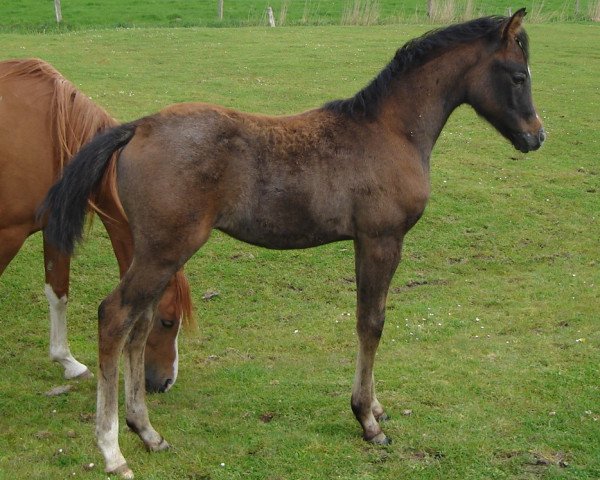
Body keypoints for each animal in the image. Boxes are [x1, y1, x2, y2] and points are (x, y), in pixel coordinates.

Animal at [0, 58, 192, 392]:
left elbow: (59, 293)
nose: (165, 382)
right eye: (167, 321)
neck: (50, 138)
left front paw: (68, 362)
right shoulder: (8, 234)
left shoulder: (54, 228)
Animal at [39, 10, 544, 476]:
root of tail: (139, 126)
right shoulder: (381, 239)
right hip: (164, 251)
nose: (537, 136)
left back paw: (147, 432)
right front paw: (368, 420)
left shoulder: (368, 241)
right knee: (115, 317)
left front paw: (376, 407)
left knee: (139, 325)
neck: (390, 131)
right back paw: (112, 450)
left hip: (156, 253)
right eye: (519, 76)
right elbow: (371, 323)